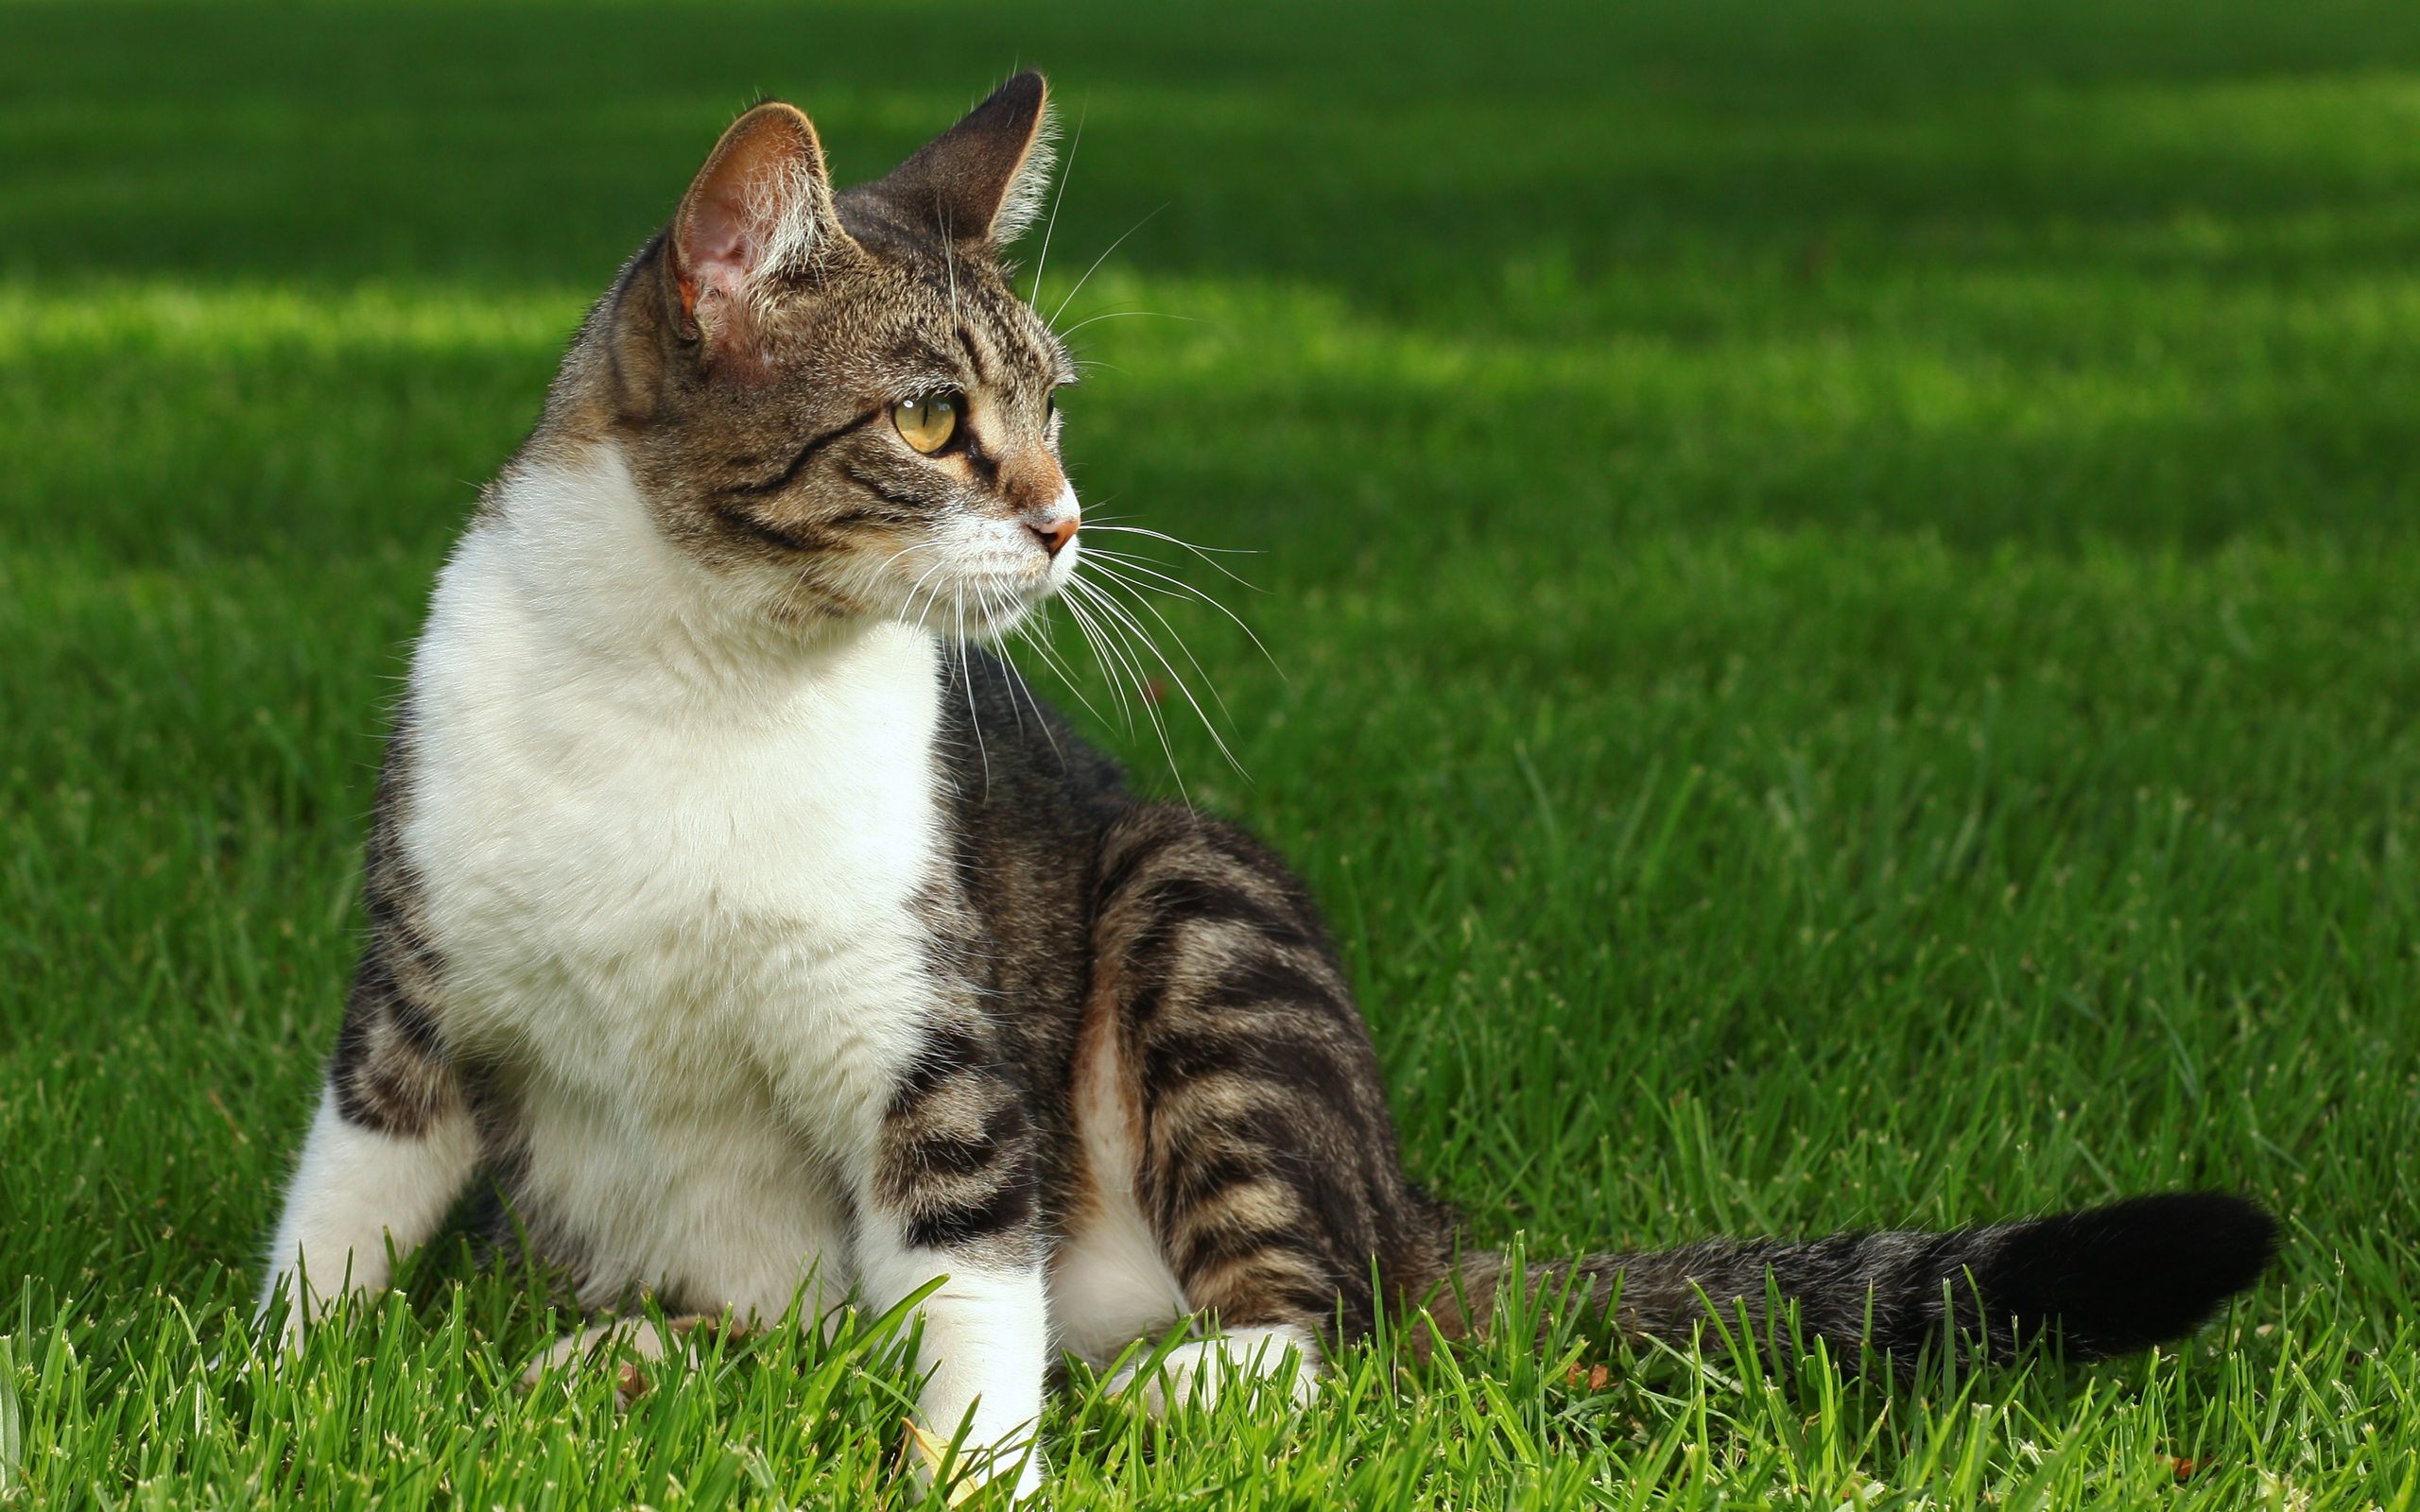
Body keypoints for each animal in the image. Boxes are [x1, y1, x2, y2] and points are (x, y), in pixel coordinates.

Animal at [269, 74, 2284, 1500]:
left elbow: (969, 1276)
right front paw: (276, 1378)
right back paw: (637, 1361)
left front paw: (975, 1474)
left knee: (1315, 1324)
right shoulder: (416, 974)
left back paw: (1166, 1384)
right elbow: (347, 1196)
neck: (696, 680)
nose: (1066, 520)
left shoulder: (927, 1027)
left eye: (1054, 409)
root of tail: (1411, 1200)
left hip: (1205, 926)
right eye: (931, 420)